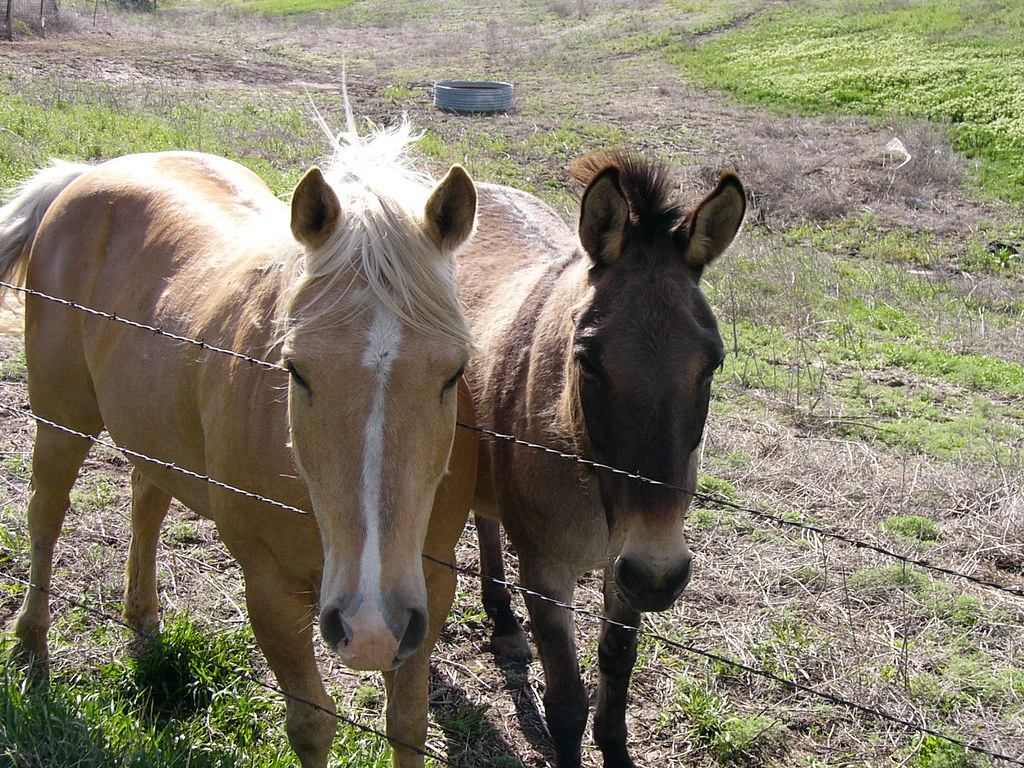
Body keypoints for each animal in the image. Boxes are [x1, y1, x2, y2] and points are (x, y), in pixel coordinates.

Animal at [0, 121, 479, 768]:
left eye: (453, 373)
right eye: (296, 369)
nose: (370, 627)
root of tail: (88, 174)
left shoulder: (429, 589)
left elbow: (406, 724)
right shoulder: (269, 590)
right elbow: (311, 725)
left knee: (146, 504)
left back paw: (143, 630)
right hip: (61, 417)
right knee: (45, 516)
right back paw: (30, 651)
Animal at [459, 151, 745, 768]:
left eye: (713, 362)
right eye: (587, 359)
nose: (659, 576)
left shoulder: (627, 567)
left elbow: (617, 663)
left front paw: (615, 748)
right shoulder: (547, 570)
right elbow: (566, 699)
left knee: (486, 514)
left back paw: (503, 623)